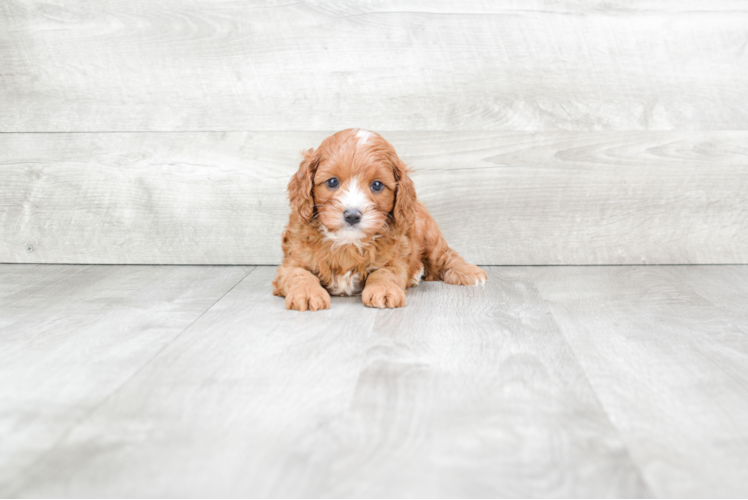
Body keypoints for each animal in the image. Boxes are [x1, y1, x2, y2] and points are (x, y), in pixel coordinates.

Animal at [272, 128, 488, 308]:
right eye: (332, 182)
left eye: (377, 185)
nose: (352, 215)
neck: (347, 244)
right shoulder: (292, 262)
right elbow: (299, 274)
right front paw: (307, 293)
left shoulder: (394, 261)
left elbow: (384, 273)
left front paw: (383, 290)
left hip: (429, 236)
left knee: (445, 256)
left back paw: (469, 272)